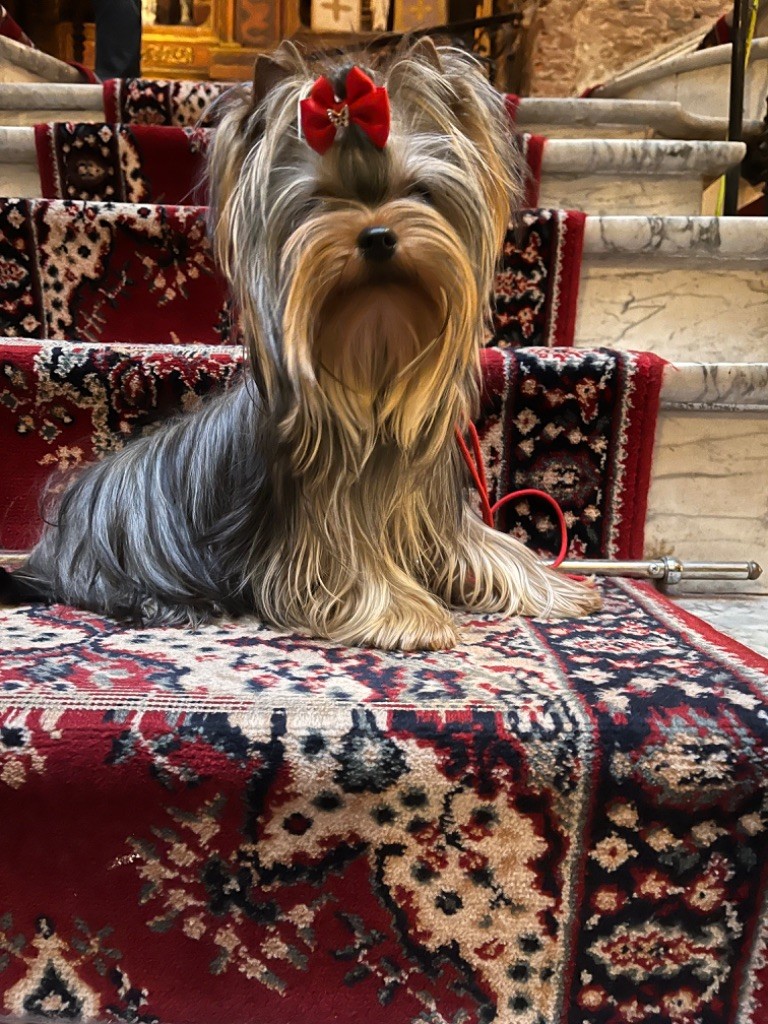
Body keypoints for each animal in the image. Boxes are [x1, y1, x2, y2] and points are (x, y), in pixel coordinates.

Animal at [6, 40, 600, 650]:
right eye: (318, 201)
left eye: (420, 192)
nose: (378, 236)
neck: (372, 353)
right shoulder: (314, 525)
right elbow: (349, 567)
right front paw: (408, 614)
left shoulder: (439, 513)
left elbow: (488, 546)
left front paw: (558, 587)